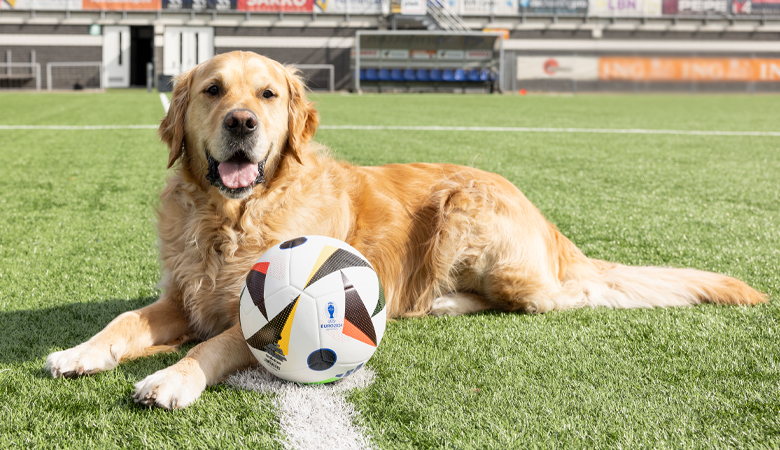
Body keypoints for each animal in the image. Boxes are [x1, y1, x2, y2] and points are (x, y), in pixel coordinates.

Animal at [41, 51, 760, 410]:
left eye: (267, 95)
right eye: (213, 90)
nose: (242, 123)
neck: (233, 217)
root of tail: (546, 222)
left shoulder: (249, 316)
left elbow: (213, 347)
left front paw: (170, 379)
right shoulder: (180, 294)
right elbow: (124, 321)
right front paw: (80, 351)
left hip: (470, 219)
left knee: (562, 296)